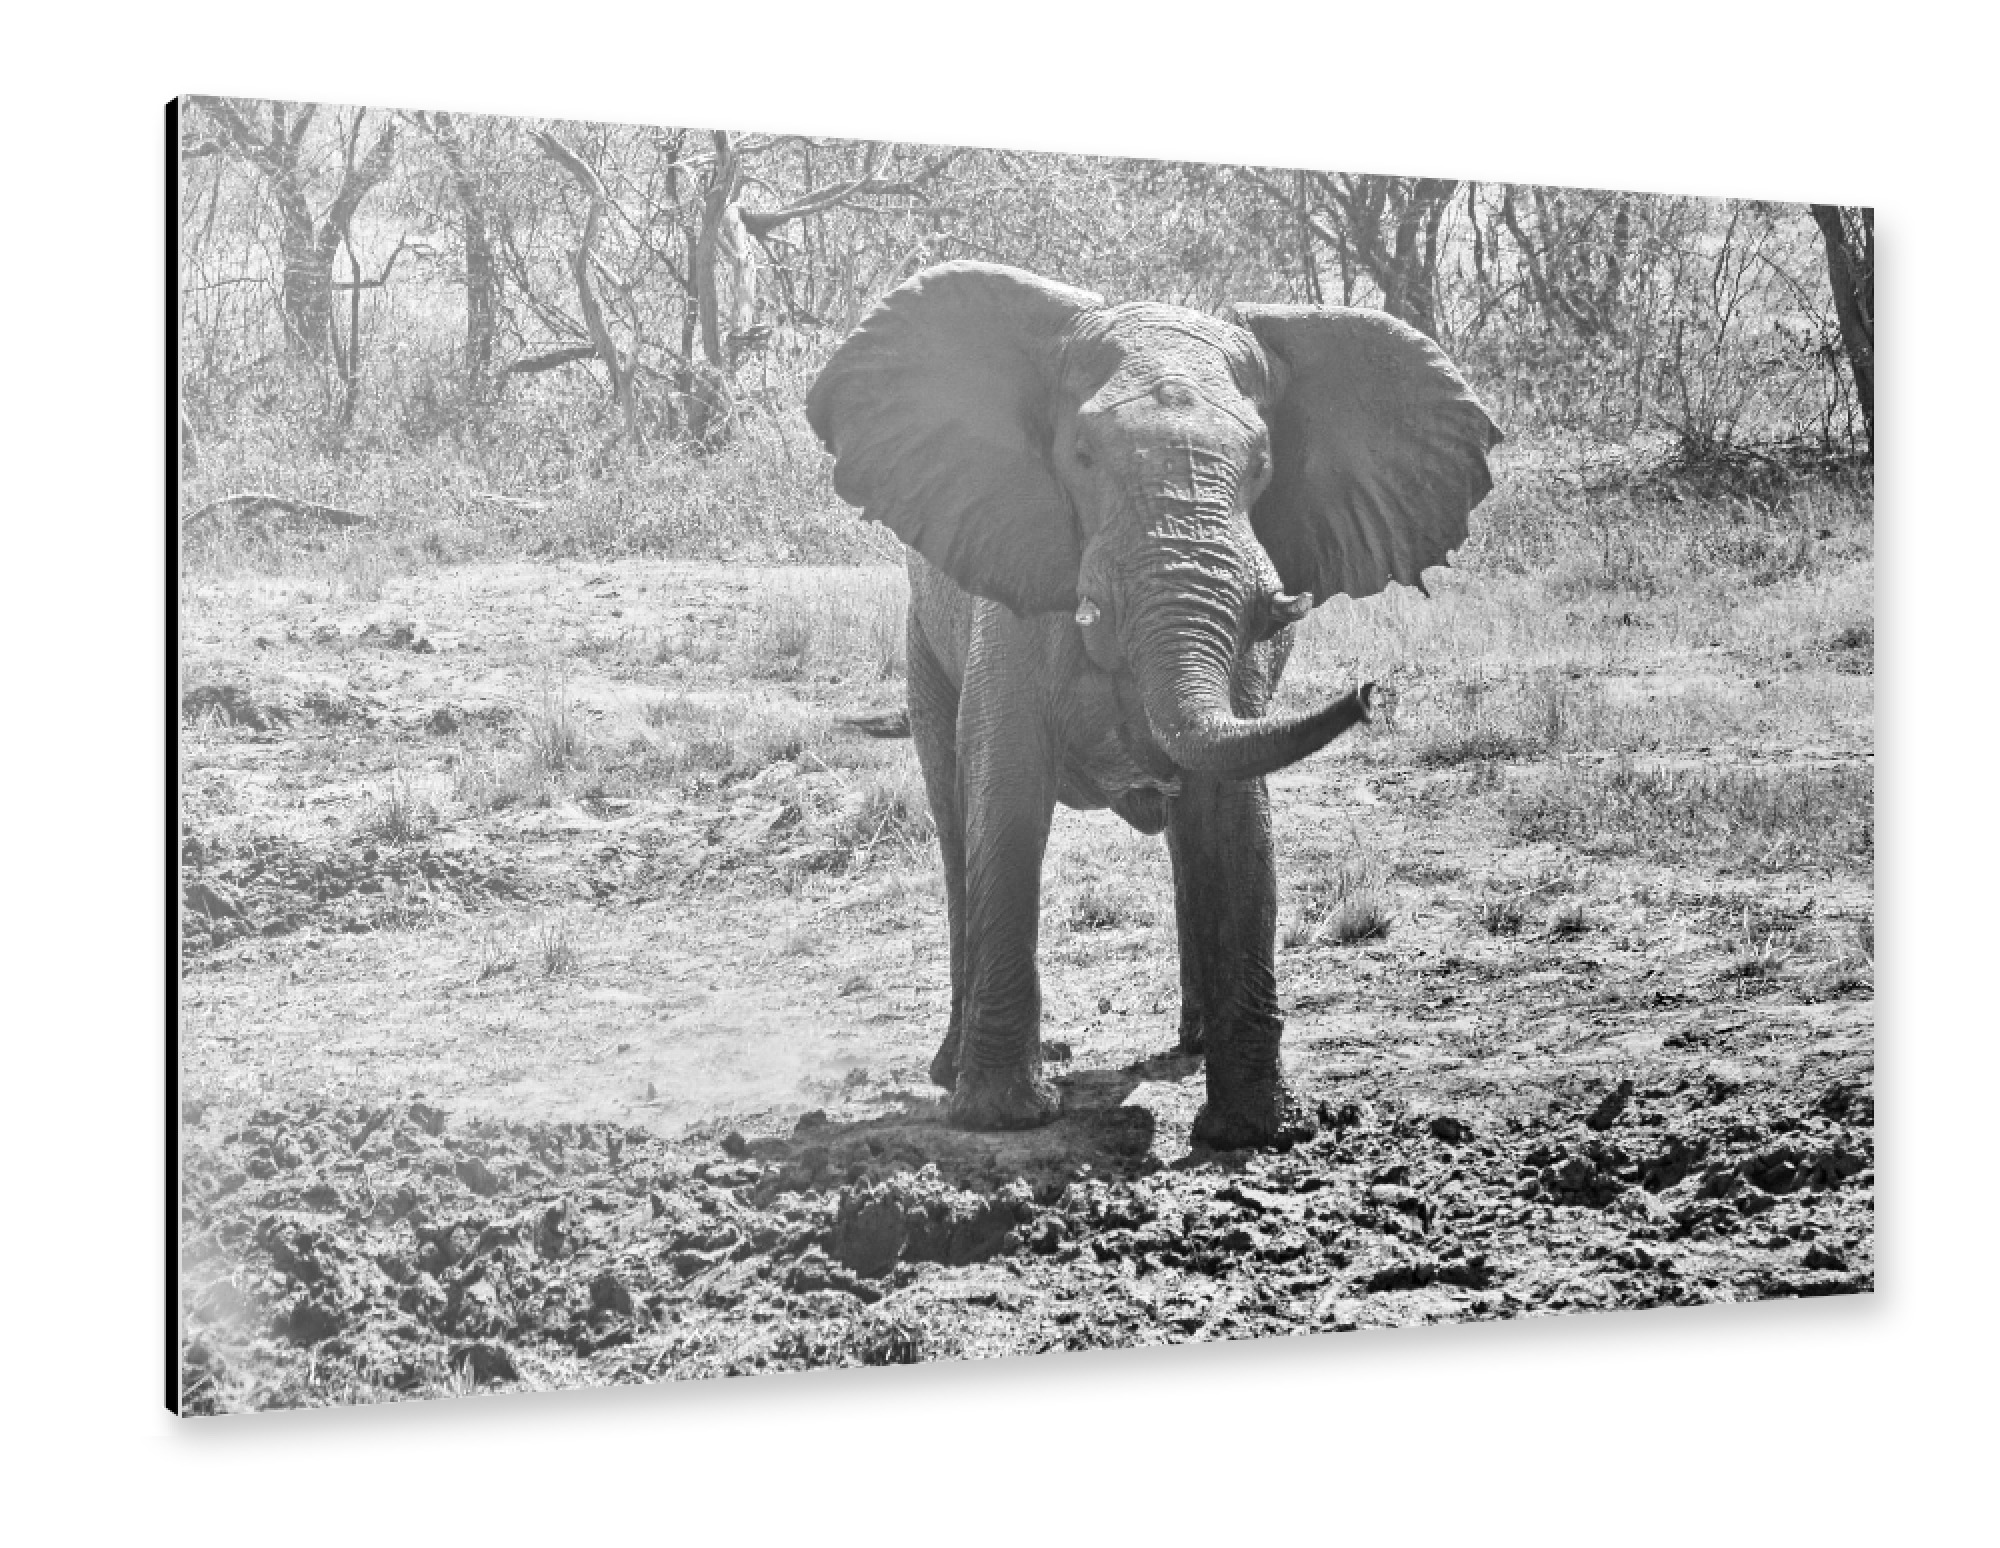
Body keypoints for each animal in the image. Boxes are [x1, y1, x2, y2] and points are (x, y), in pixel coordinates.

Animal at [806, 262, 1500, 1149]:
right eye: (1079, 456)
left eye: (1264, 465)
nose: (1370, 693)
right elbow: (1007, 796)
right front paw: (1003, 1119)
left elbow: (1235, 813)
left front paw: (1257, 1132)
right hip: (924, 637)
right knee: (955, 816)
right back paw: (950, 1072)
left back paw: (1191, 1045)